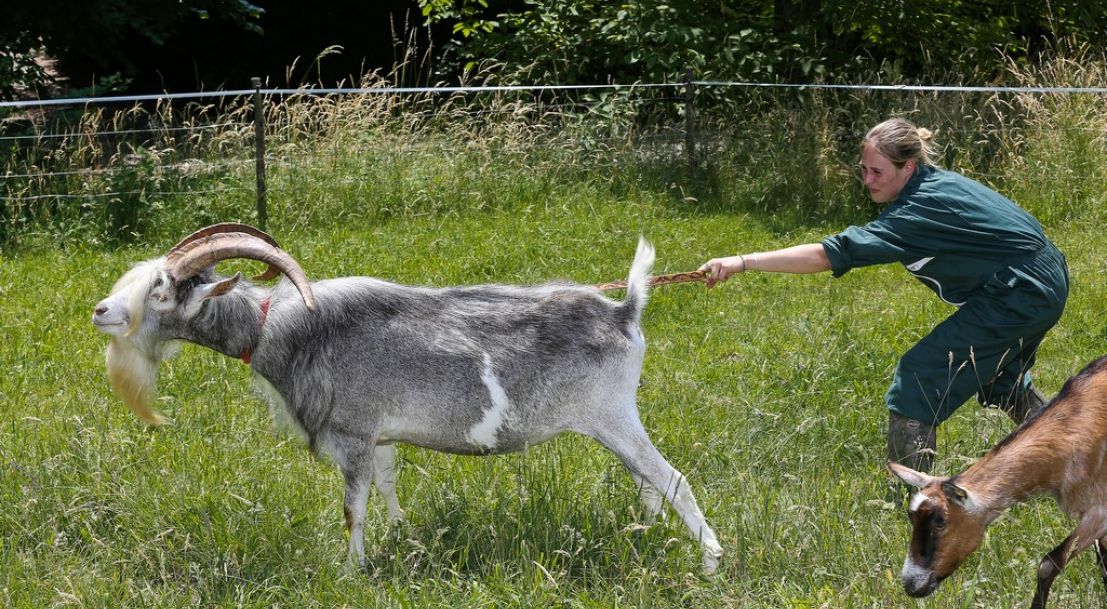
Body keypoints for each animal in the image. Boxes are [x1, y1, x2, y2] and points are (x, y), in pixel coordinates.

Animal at [95, 224, 726, 571]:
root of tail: (625, 311)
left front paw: (353, 570)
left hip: (614, 416)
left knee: (672, 480)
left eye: (160, 291)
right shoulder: (380, 437)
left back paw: (712, 563)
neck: (285, 330)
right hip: (613, 427)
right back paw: (643, 536)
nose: (101, 311)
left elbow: (353, 507)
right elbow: (388, 485)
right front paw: (402, 538)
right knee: (647, 483)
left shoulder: (351, 434)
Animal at [885, 356, 1107, 606]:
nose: (911, 585)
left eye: (940, 523)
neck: (1074, 426)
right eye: (911, 518)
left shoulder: (1099, 512)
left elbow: (1049, 564)